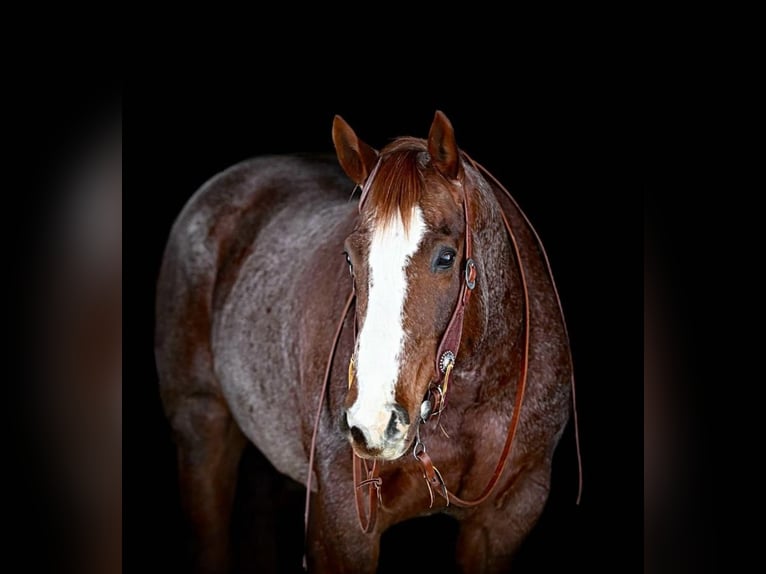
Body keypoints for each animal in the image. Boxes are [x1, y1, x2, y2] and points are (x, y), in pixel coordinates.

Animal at [154, 110, 576, 572]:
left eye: (446, 257)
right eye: (350, 257)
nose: (373, 422)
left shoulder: (507, 514)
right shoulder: (342, 521)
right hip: (201, 426)